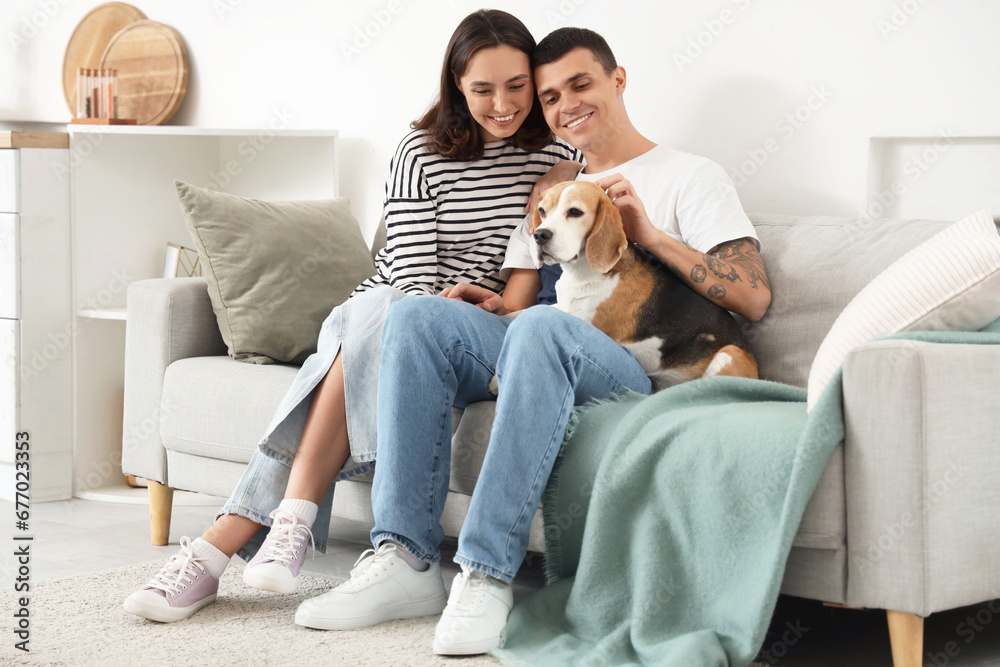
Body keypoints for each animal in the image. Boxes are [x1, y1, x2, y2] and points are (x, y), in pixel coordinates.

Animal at [532, 180, 756, 394]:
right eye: (542, 211)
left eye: (575, 212)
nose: (539, 235)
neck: (581, 273)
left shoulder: (587, 323)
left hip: (729, 353)